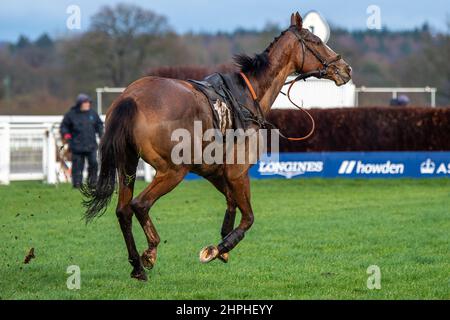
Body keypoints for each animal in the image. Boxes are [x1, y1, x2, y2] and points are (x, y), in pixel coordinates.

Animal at [83, 11, 352, 280]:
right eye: (316, 41)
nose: (345, 68)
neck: (247, 97)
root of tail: (130, 97)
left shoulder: (214, 172)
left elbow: (232, 203)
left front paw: (223, 245)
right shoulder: (238, 173)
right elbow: (248, 217)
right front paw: (217, 249)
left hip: (127, 166)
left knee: (124, 211)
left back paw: (137, 265)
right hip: (172, 171)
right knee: (140, 204)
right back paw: (149, 252)